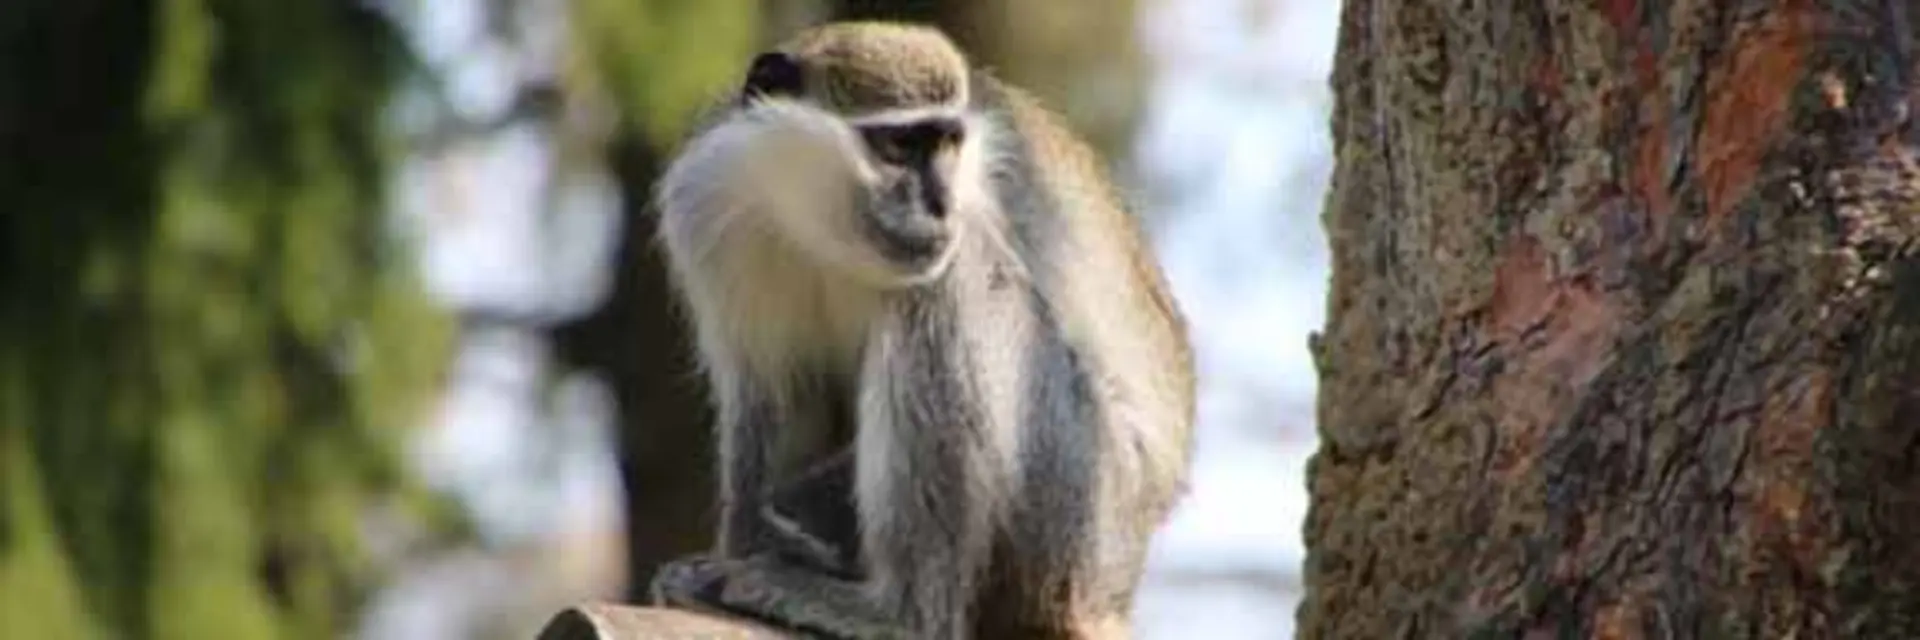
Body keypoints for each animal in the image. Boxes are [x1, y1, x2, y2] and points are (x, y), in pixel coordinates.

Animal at [647, 21, 1197, 640]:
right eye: (898, 146)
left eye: (948, 144)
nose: (940, 204)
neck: (825, 225)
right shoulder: (709, 199)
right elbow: (774, 394)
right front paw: (736, 550)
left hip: (1082, 504)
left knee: (946, 284)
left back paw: (899, 614)